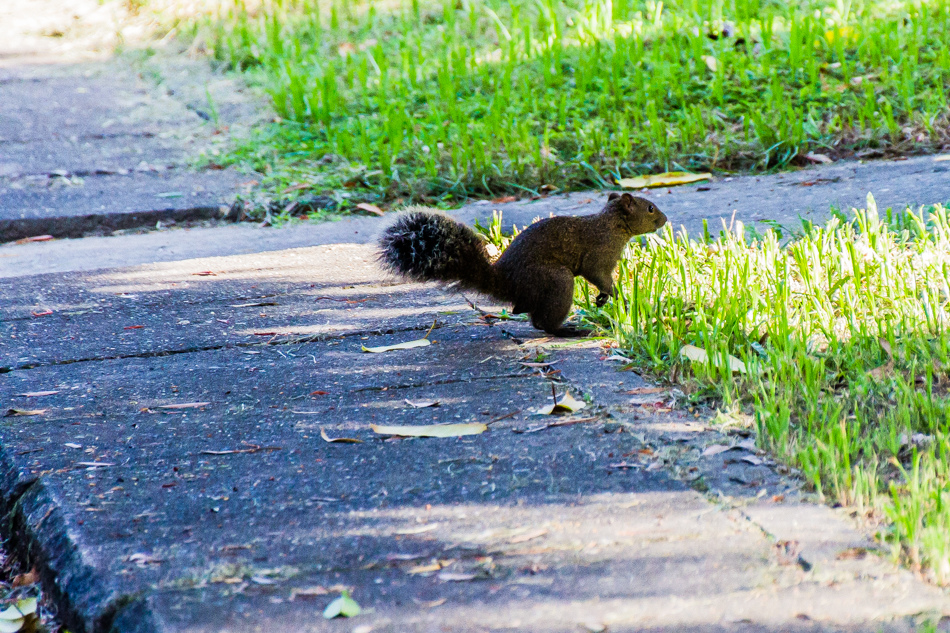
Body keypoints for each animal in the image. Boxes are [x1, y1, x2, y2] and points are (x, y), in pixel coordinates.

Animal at [380, 191, 668, 336]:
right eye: (650, 208)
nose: (665, 219)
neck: (612, 224)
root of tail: (507, 283)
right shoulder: (599, 254)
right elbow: (598, 275)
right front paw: (617, 296)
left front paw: (605, 298)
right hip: (556, 279)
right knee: (543, 323)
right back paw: (570, 331)